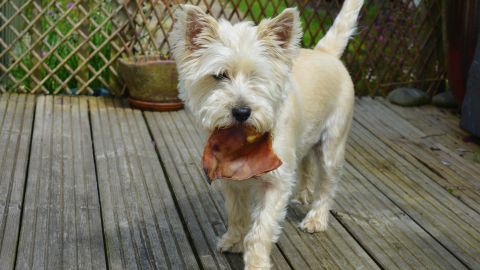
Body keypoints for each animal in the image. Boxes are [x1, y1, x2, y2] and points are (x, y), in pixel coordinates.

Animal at [172, 1, 364, 268]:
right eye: (219, 75)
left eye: (258, 76)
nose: (241, 111)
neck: (243, 141)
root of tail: (325, 53)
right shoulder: (232, 180)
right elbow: (236, 213)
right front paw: (233, 241)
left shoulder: (276, 182)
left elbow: (261, 229)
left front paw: (256, 262)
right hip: (307, 139)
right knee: (306, 165)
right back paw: (302, 195)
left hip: (332, 144)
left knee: (327, 184)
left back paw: (316, 219)